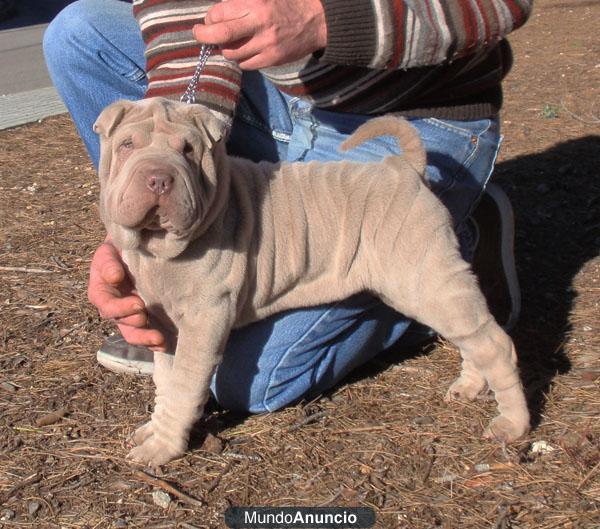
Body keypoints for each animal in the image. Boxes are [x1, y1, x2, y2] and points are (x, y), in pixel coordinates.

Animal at [91, 97, 528, 464]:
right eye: (127, 145)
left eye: (188, 150)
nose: (158, 179)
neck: (159, 250)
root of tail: (405, 169)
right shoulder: (164, 326)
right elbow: (166, 382)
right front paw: (153, 428)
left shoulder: (203, 322)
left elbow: (183, 388)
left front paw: (162, 448)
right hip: (430, 282)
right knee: (473, 334)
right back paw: (470, 385)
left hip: (424, 278)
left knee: (495, 342)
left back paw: (513, 423)